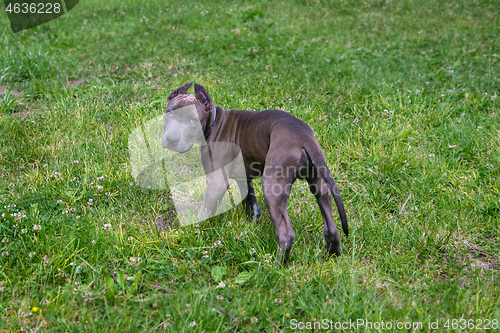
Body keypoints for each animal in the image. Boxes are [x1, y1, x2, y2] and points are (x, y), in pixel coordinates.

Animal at [163, 82, 348, 262]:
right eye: (169, 114)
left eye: (193, 120)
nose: (171, 139)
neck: (214, 123)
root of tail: (304, 137)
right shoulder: (244, 177)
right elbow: (251, 203)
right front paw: (251, 225)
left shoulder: (216, 182)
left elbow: (207, 209)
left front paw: (197, 232)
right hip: (318, 183)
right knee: (331, 226)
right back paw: (331, 256)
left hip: (272, 186)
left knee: (286, 234)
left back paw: (276, 265)